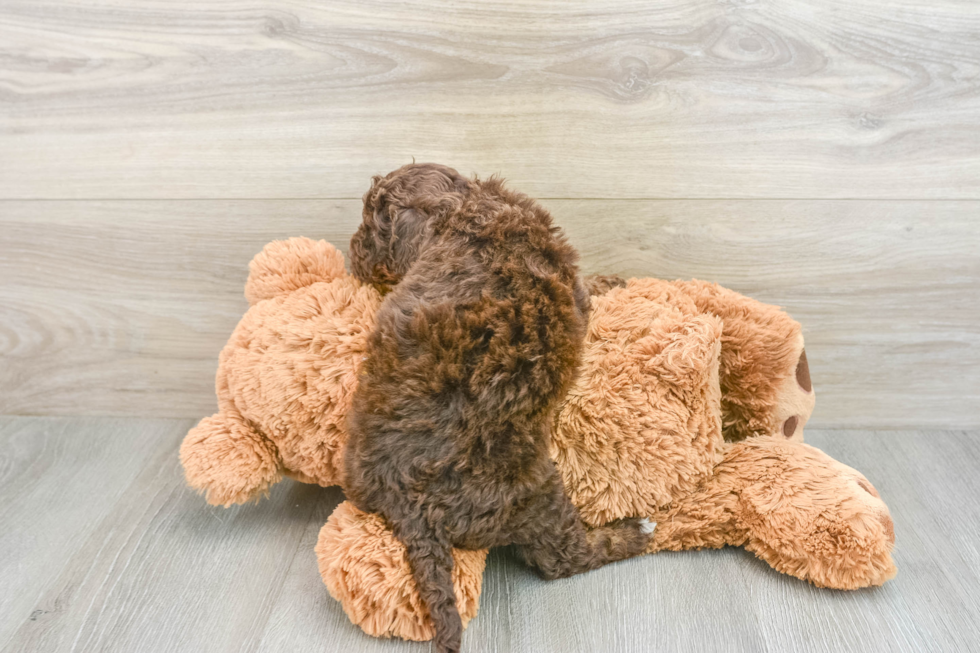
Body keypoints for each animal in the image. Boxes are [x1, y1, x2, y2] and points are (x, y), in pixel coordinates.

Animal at [344, 164, 652, 652]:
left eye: (370, 226)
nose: (350, 255)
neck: (467, 208)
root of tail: (405, 502)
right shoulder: (574, 292)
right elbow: (588, 292)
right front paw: (612, 282)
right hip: (535, 492)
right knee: (563, 559)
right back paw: (635, 532)